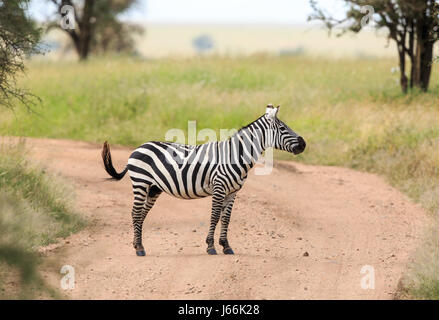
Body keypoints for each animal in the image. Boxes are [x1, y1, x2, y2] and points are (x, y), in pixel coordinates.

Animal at [102, 104, 306, 255]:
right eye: (283, 128)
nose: (304, 144)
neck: (235, 155)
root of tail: (138, 148)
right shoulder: (219, 187)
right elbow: (215, 216)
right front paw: (210, 246)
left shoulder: (233, 192)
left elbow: (226, 219)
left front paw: (226, 246)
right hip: (140, 182)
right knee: (136, 213)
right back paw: (139, 249)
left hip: (153, 188)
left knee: (142, 214)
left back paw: (138, 244)